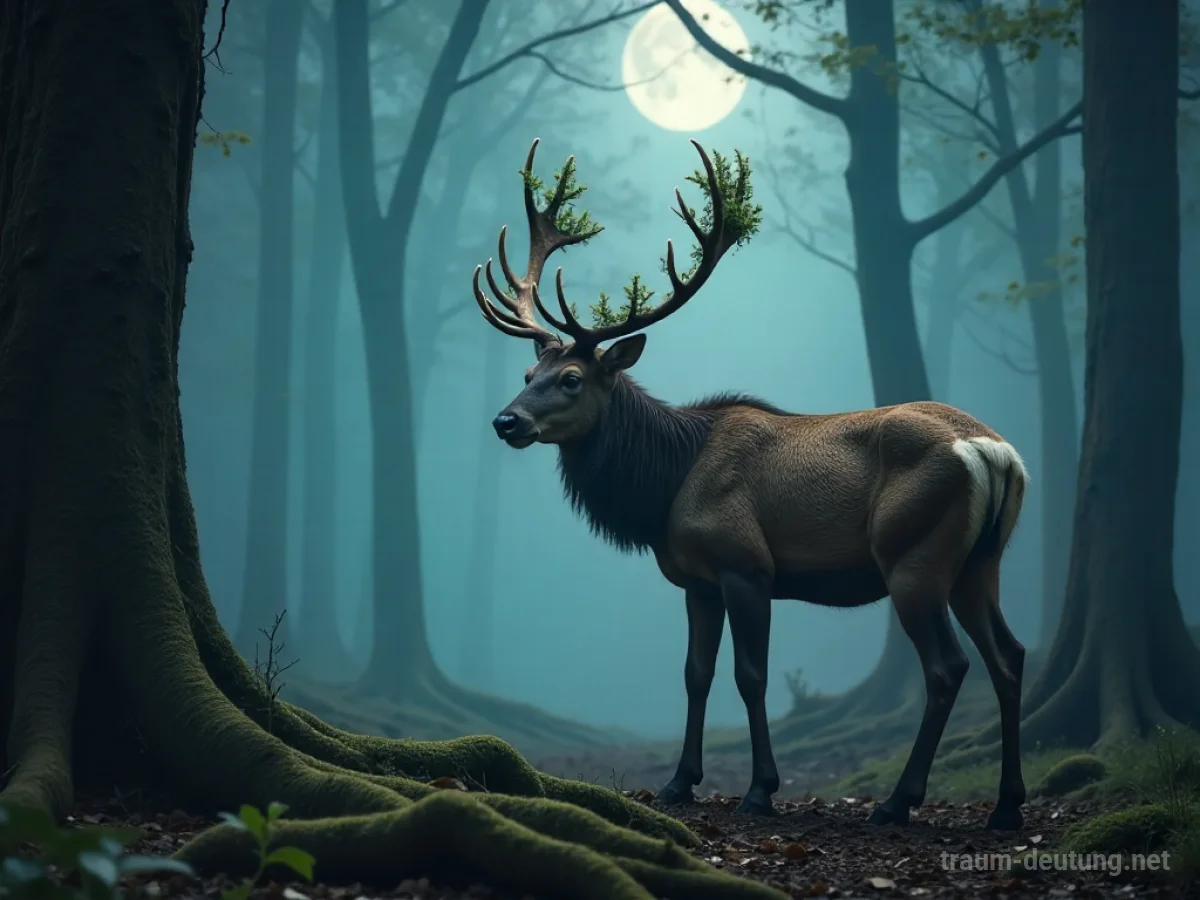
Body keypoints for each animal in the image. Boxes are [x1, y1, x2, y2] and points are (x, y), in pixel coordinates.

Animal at [471, 137, 1030, 831]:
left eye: (572, 378)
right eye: (529, 372)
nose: (505, 421)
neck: (665, 488)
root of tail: (995, 451)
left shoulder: (746, 564)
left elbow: (751, 675)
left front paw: (760, 789)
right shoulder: (697, 581)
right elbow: (695, 673)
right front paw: (679, 782)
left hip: (914, 553)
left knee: (948, 667)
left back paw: (899, 801)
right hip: (981, 560)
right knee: (1010, 656)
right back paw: (1007, 805)